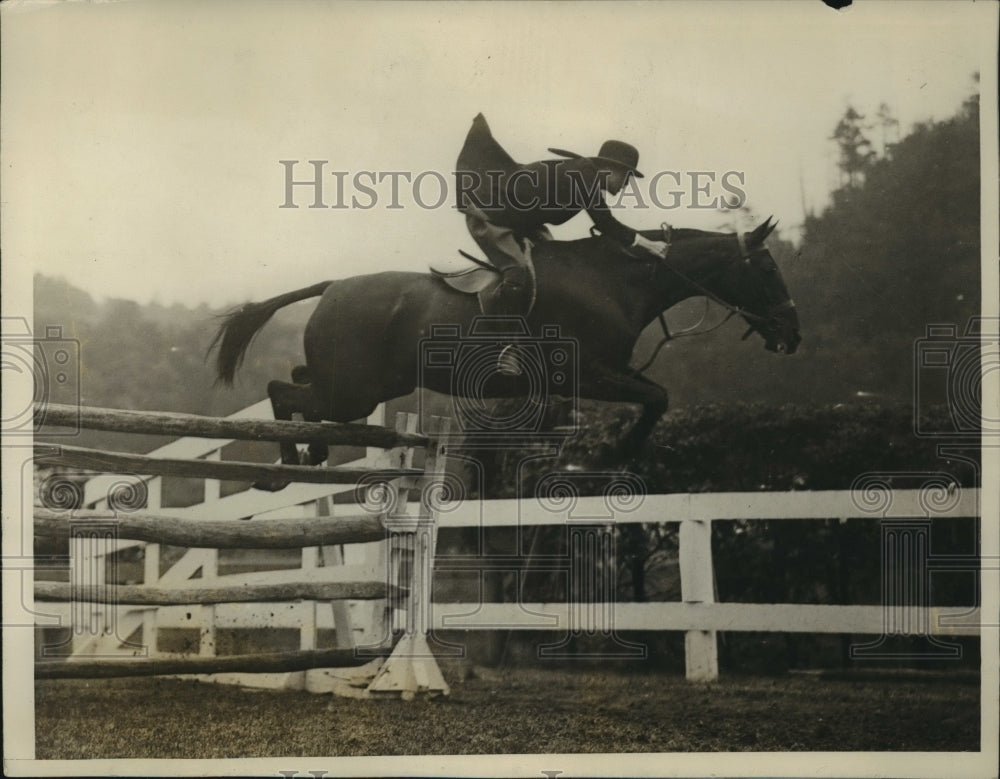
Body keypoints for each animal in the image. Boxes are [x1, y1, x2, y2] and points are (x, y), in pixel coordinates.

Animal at [211, 218, 800, 479]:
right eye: (769, 270)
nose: (793, 335)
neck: (616, 283)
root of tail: (332, 285)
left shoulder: (602, 375)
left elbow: (654, 397)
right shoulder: (594, 372)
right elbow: (657, 397)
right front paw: (616, 453)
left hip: (362, 386)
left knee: (297, 383)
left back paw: (311, 451)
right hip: (355, 391)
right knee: (282, 389)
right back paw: (291, 459)